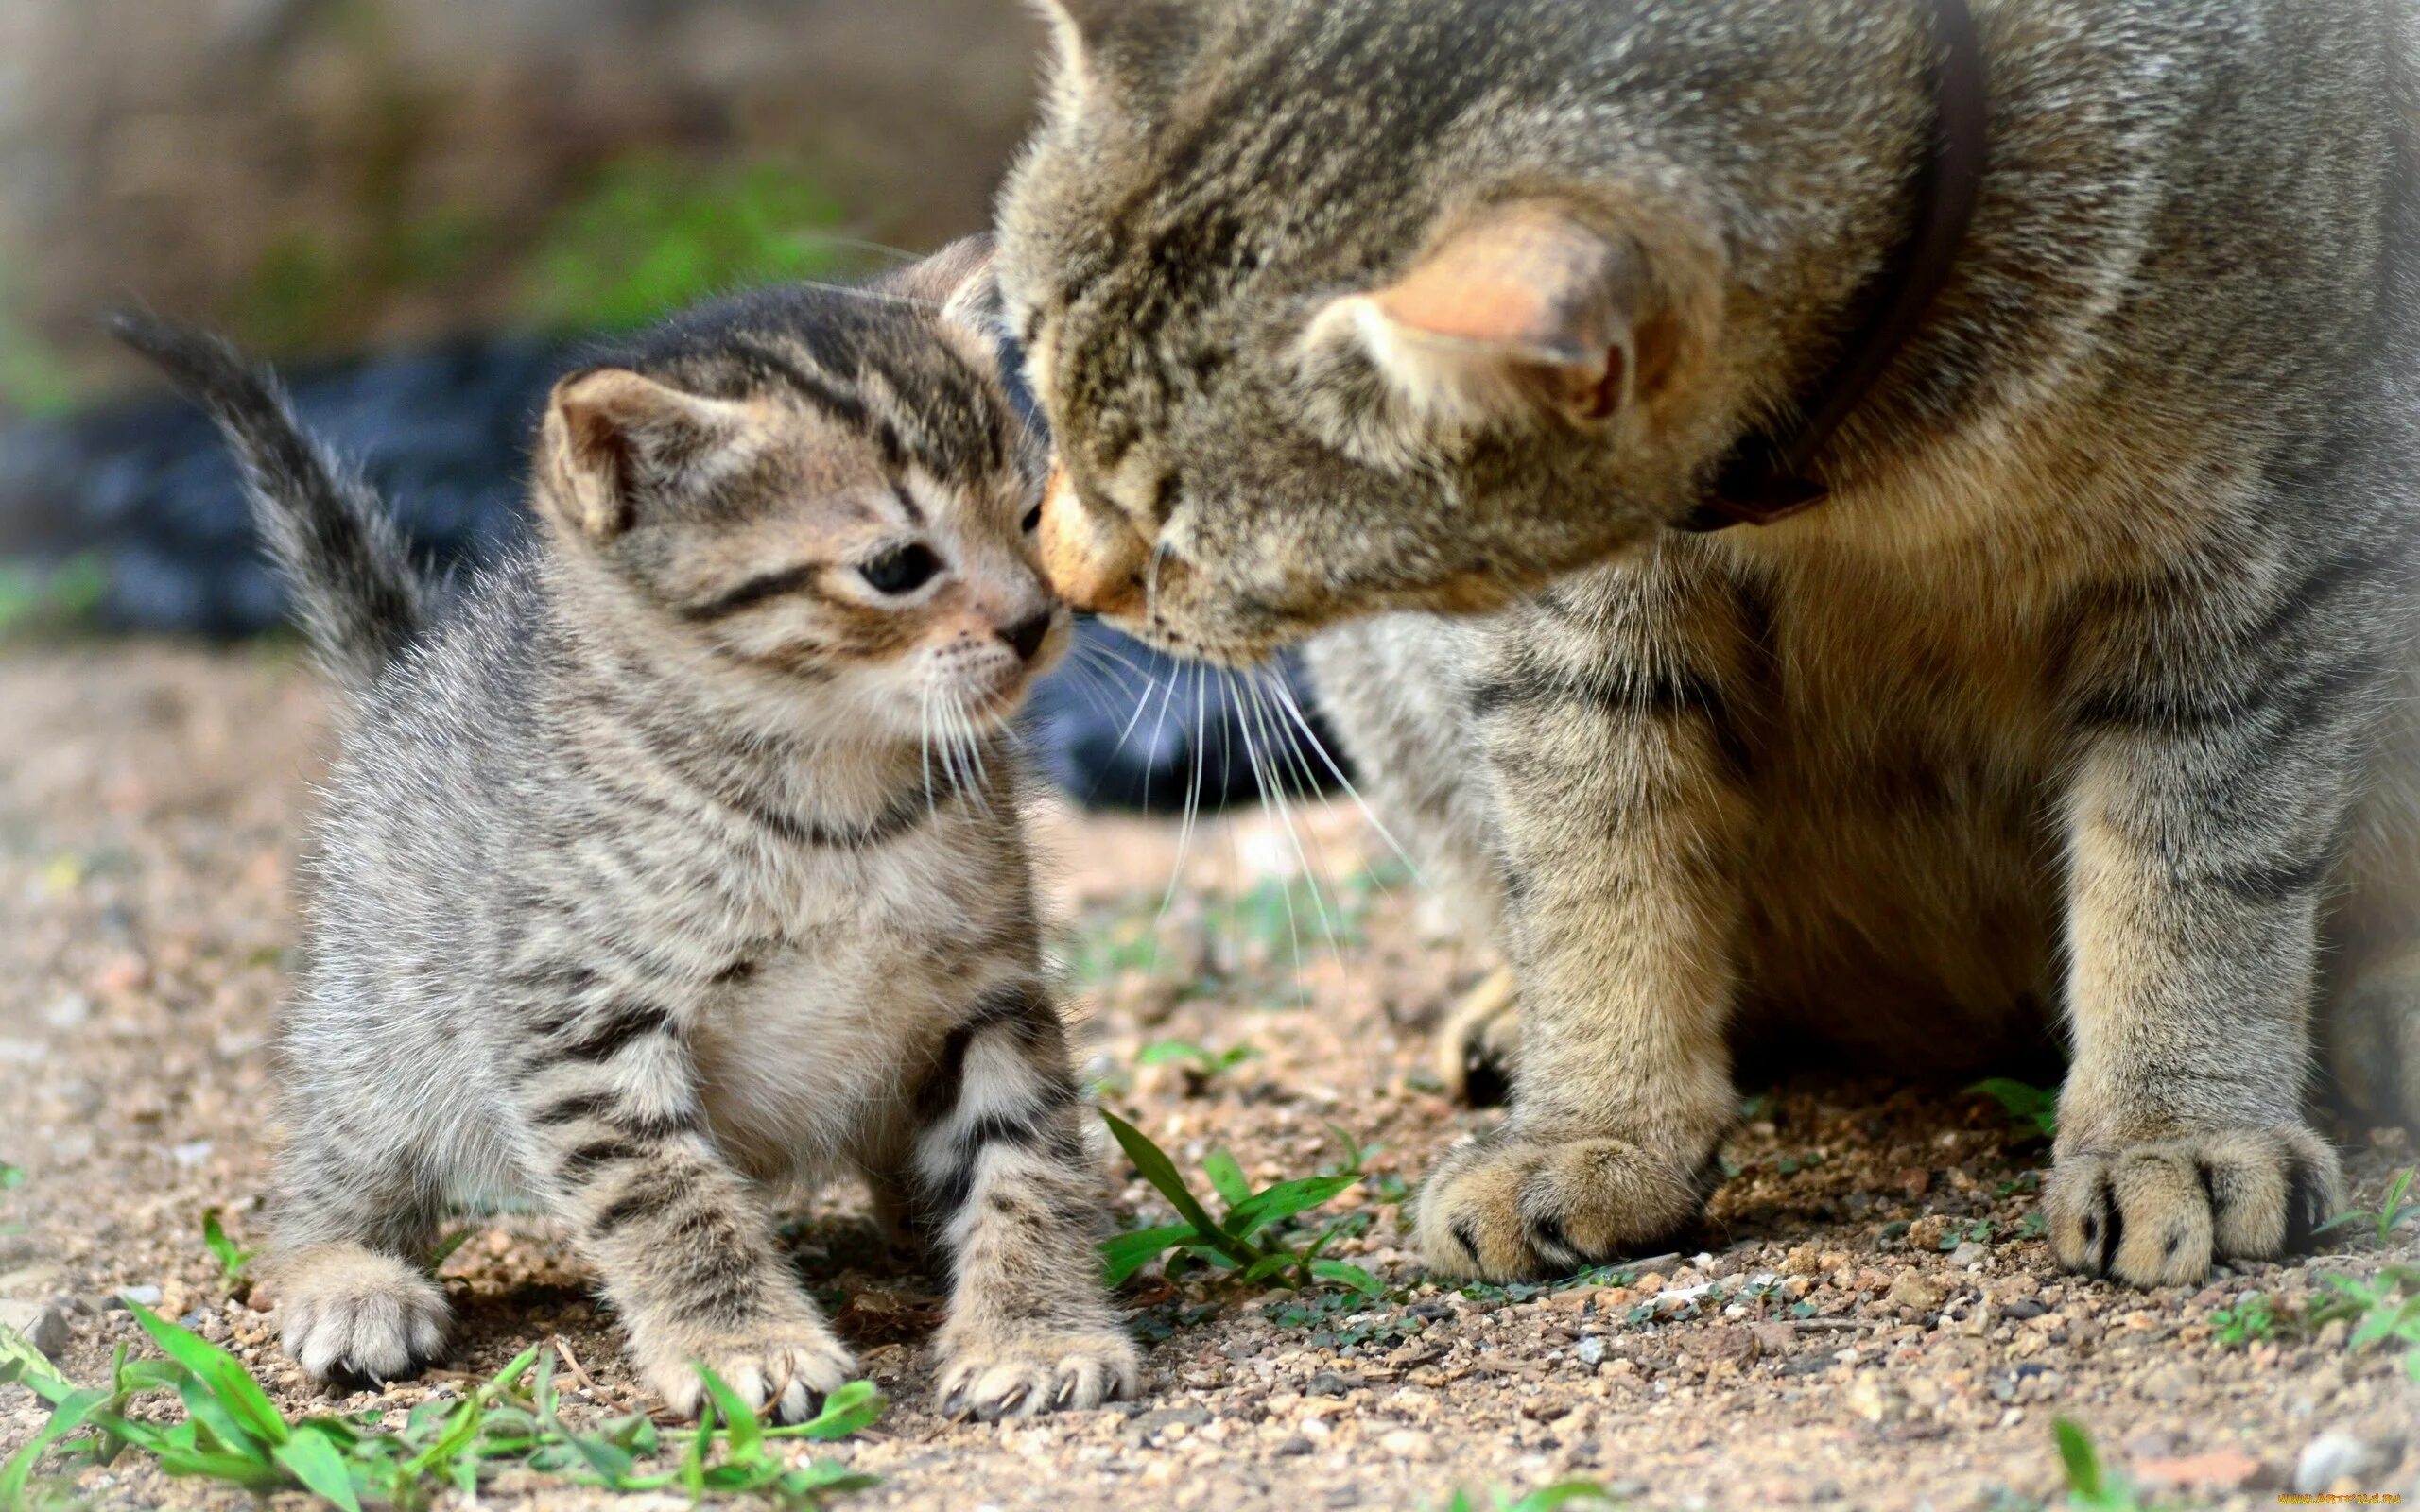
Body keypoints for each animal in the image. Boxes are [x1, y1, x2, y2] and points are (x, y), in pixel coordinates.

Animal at [106, 242, 1142, 1422]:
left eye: (1029, 518)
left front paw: (1036, 1325)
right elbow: (667, 1195)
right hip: (383, 1023)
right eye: (896, 566)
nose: (1037, 618)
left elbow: (1027, 1155)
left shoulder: (989, 989)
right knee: (329, 1163)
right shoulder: (575, 1020)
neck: (832, 800)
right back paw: (345, 1272)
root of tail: (412, 676)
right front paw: (743, 1341)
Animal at [987, 0, 2420, 1286]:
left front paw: (2178, 1127)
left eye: (1182, 530)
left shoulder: (2263, 555)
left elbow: (2196, 870)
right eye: (1032, 369)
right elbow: (1596, 865)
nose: (1059, 571)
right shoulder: (1579, 623)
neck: (1865, 465)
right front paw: (1596, 1126)